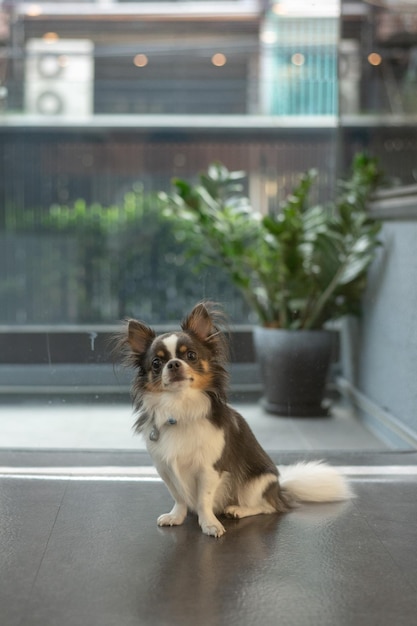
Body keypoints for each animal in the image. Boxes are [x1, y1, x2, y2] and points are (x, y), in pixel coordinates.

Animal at [118, 300, 352, 532]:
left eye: (191, 355)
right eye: (156, 363)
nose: (173, 364)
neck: (180, 408)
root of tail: (279, 491)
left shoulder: (209, 469)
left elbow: (203, 499)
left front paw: (209, 524)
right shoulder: (165, 469)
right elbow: (179, 497)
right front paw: (176, 516)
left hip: (256, 483)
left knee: (267, 507)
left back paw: (237, 510)